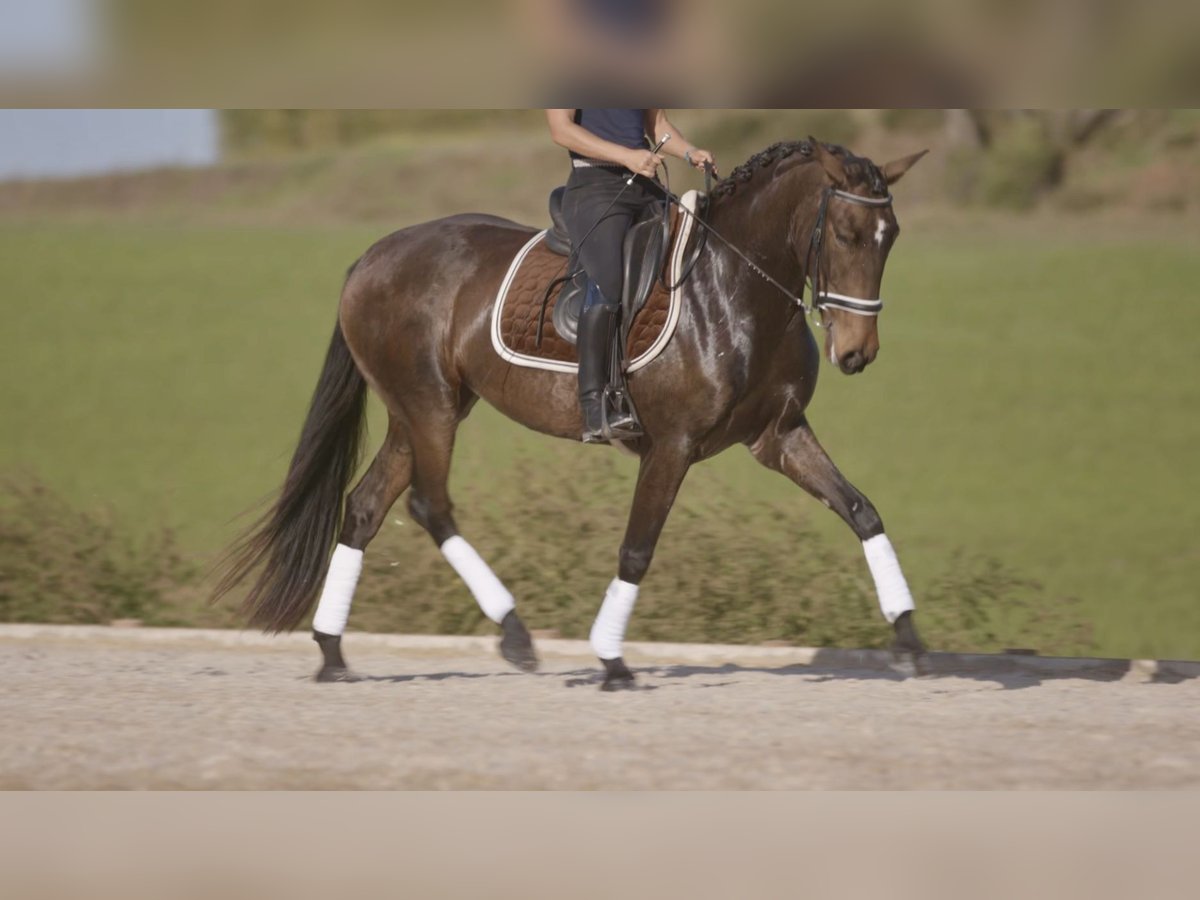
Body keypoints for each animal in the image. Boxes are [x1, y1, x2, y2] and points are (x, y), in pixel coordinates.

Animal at [213, 137, 926, 696]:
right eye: (847, 235)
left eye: (890, 239)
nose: (857, 353)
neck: (734, 285)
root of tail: (372, 258)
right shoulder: (673, 445)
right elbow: (637, 549)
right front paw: (611, 661)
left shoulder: (777, 436)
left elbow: (862, 511)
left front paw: (910, 641)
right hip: (430, 407)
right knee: (429, 505)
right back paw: (515, 635)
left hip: (417, 413)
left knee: (364, 508)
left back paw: (333, 653)